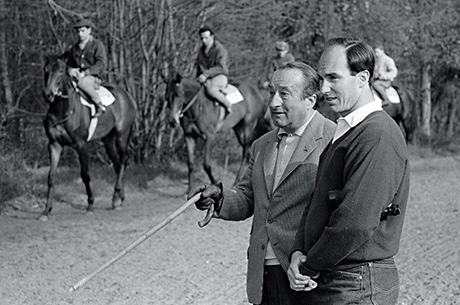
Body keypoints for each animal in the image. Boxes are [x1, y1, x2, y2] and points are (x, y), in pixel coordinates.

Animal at [41, 54, 137, 220]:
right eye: (45, 70)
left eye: (61, 70)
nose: (48, 94)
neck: (63, 110)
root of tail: (127, 95)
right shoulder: (54, 145)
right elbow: (51, 177)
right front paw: (46, 210)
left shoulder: (82, 146)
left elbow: (85, 175)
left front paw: (90, 205)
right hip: (108, 140)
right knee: (118, 164)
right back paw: (118, 198)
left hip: (122, 135)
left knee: (123, 159)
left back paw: (116, 196)